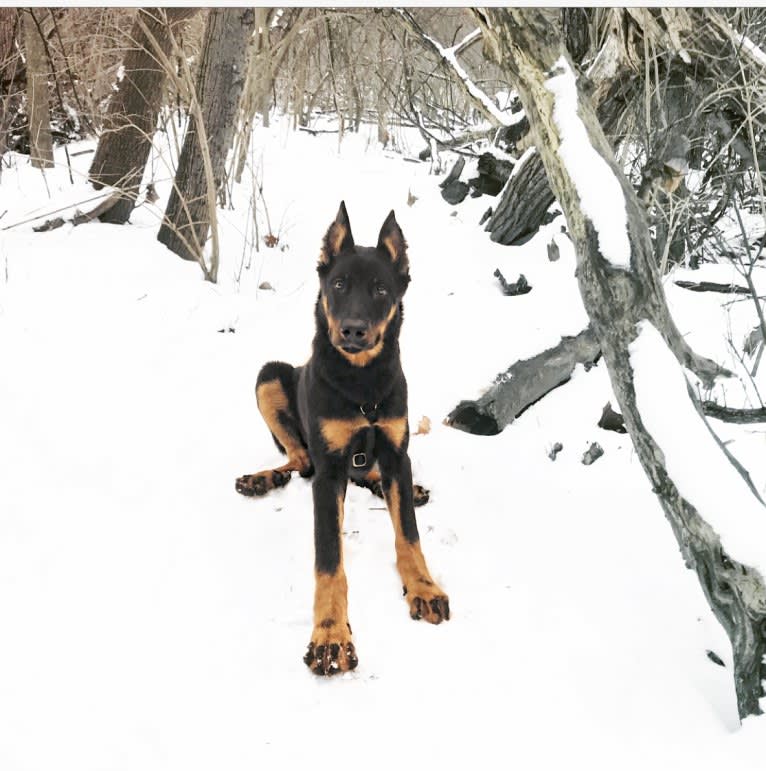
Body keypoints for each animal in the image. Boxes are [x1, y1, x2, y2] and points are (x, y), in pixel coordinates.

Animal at [234, 204, 450, 676]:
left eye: (381, 290)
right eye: (338, 285)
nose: (353, 331)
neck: (362, 384)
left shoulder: (397, 454)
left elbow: (409, 534)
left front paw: (423, 587)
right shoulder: (329, 472)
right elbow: (329, 558)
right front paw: (331, 636)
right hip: (269, 376)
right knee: (298, 460)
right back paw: (262, 479)